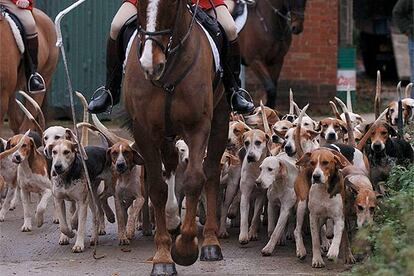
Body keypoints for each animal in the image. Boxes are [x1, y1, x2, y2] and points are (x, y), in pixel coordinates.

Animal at [123, 0, 230, 274]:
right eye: (140, 3)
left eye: (171, 4)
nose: (150, 64)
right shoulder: (145, 131)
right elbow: (157, 188)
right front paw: (162, 256)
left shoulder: (198, 126)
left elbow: (194, 179)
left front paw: (185, 247)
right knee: (170, 165)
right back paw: (172, 218)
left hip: (220, 119)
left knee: (211, 171)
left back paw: (210, 242)